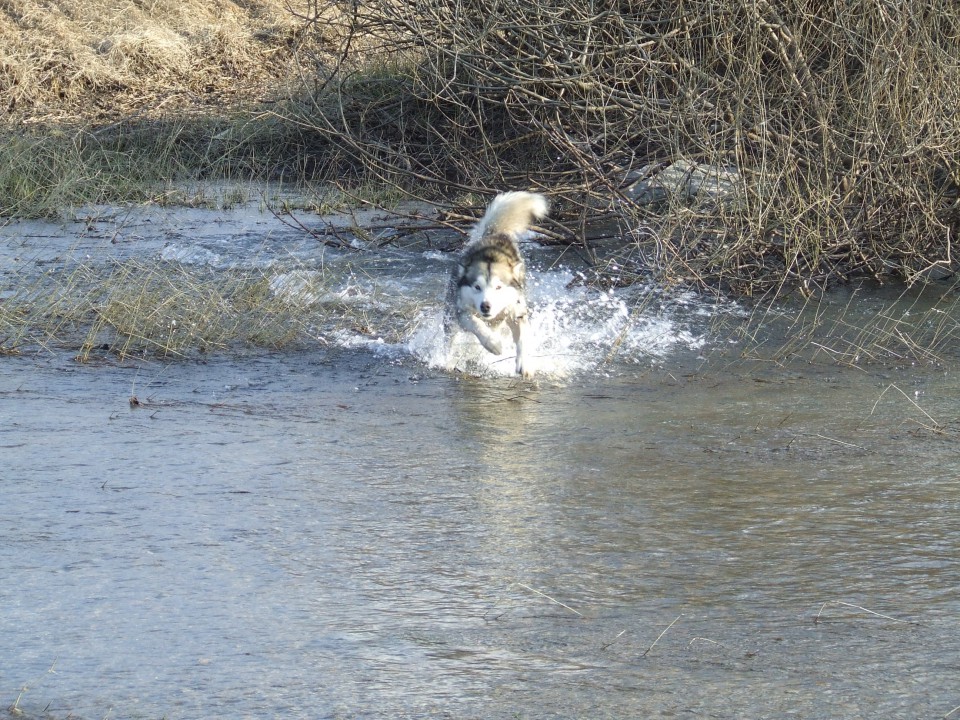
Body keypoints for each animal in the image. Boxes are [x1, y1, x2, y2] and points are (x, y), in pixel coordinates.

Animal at [448, 191, 548, 380]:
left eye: (499, 287)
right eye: (477, 287)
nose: (485, 306)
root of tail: (495, 233)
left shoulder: (517, 310)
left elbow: (523, 338)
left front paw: (525, 363)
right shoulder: (462, 311)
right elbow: (476, 324)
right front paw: (493, 343)